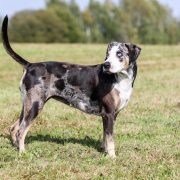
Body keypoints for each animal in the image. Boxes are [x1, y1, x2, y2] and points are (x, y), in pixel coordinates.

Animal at [2, 15, 141, 158]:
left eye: (119, 54)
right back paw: (23, 152)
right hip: (35, 106)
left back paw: (16, 147)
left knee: (13, 128)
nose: (106, 65)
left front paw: (104, 150)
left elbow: (105, 136)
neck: (120, 79)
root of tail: (30, 65)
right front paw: (112, 156)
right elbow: (110, 138)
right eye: (107, 55)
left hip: (27, 106)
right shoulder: (108, 113)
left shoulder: (111, 115)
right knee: (21, 131)